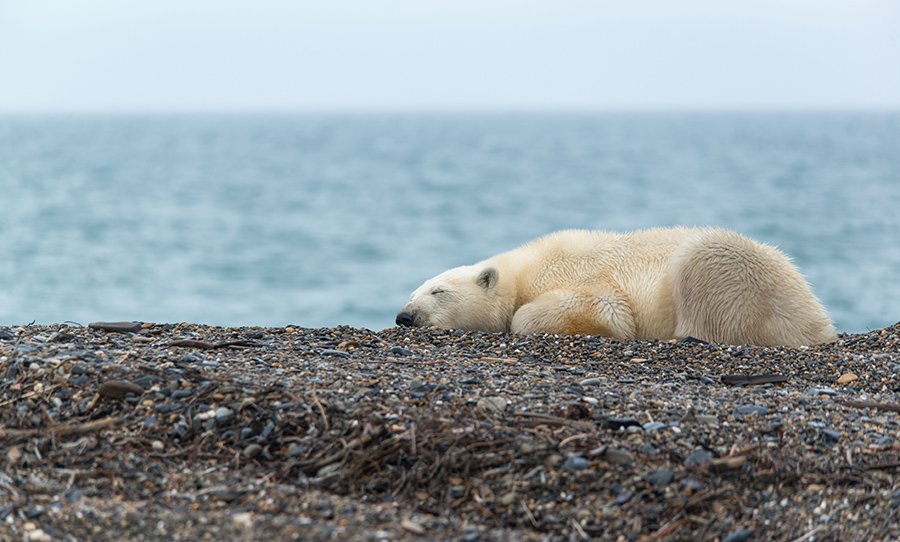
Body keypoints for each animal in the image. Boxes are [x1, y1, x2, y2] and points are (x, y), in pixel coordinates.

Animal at [394, 228, 836, 348]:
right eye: (412, 293)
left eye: (438, 292)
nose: (405, 317)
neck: (522, 270)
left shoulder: (579, 275)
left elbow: (607, 310)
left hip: (731, 269)